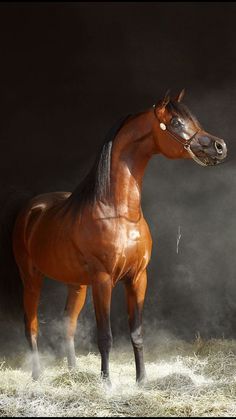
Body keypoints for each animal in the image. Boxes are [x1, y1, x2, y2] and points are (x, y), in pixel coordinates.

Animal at [12, 90, 227, 386]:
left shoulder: (137, 278)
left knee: (68, 324)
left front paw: (142, 379)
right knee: (30, 325)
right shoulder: (104, 280)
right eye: (175, 122)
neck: (119, 213)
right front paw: (107, 382)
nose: (220, 146)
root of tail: (32, 208)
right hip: (32, 278)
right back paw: (36, 375)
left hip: (76, 284)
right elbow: (105, 335)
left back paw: (73, 371)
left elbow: (136, 332)